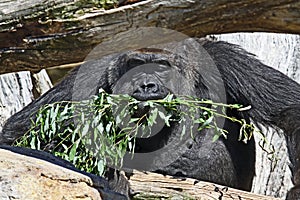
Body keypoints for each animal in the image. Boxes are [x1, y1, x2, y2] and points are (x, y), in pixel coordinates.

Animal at [0, 37, 300, 198]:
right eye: (135, 65)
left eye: (161, 66)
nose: (146, 85)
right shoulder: (96, 69)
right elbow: (21, 132)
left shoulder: (226, 60)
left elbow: (290, 109)